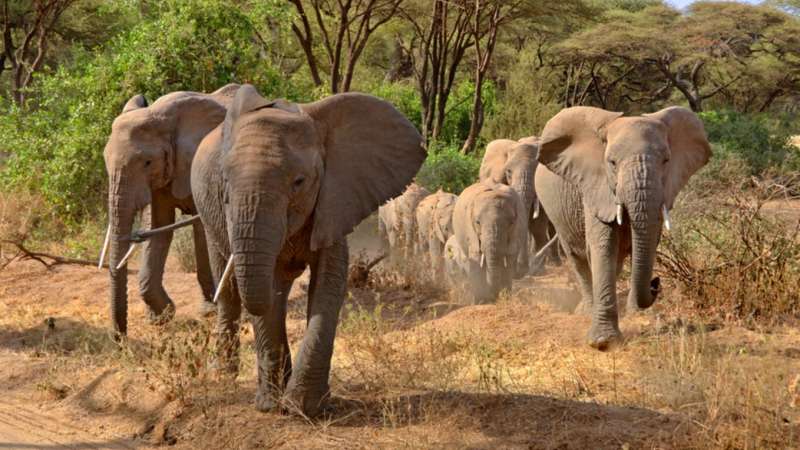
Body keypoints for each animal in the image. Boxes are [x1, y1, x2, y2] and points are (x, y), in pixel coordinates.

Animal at [101, 83, 240, 336]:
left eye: (147, 162)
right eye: (105, 160)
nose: (119, 338)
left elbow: (200, 226)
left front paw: (206, 311)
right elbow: (159, 227)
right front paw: (160, 317)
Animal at [190, 85, 425, 416]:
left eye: (299, 182)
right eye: (224, 183)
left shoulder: (336, 198)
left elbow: (329, 282)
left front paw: (305, 407)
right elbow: (266, 290)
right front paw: (270, 405)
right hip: (207, 216)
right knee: (230, 289)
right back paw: (222, 375)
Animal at [479, 137, 560, 276]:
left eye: (538, 174)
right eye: (508, 172)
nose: (519, 271)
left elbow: (537, 224)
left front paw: (538, 271)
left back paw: (555, 262)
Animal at [535, 106, 711, 350]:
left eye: (666, 160)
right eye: (612, 163)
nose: (656, 282)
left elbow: (648, 242)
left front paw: (637, 314)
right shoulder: (595, 188)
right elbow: (603, 246)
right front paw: (603, 342)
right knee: (576, 257)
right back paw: (586, 310)